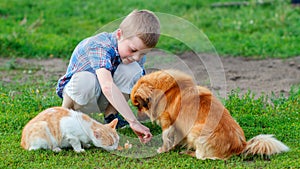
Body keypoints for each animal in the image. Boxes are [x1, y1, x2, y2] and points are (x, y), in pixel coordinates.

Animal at [130, 69, 290, 160]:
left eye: (138, 105)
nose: (137, 118)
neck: (168, 89)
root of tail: (241, 145)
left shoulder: (167, 123)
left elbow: (166, 139)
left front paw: (163, 150)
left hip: (195, 131)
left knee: (203, 157)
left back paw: (189, 153)